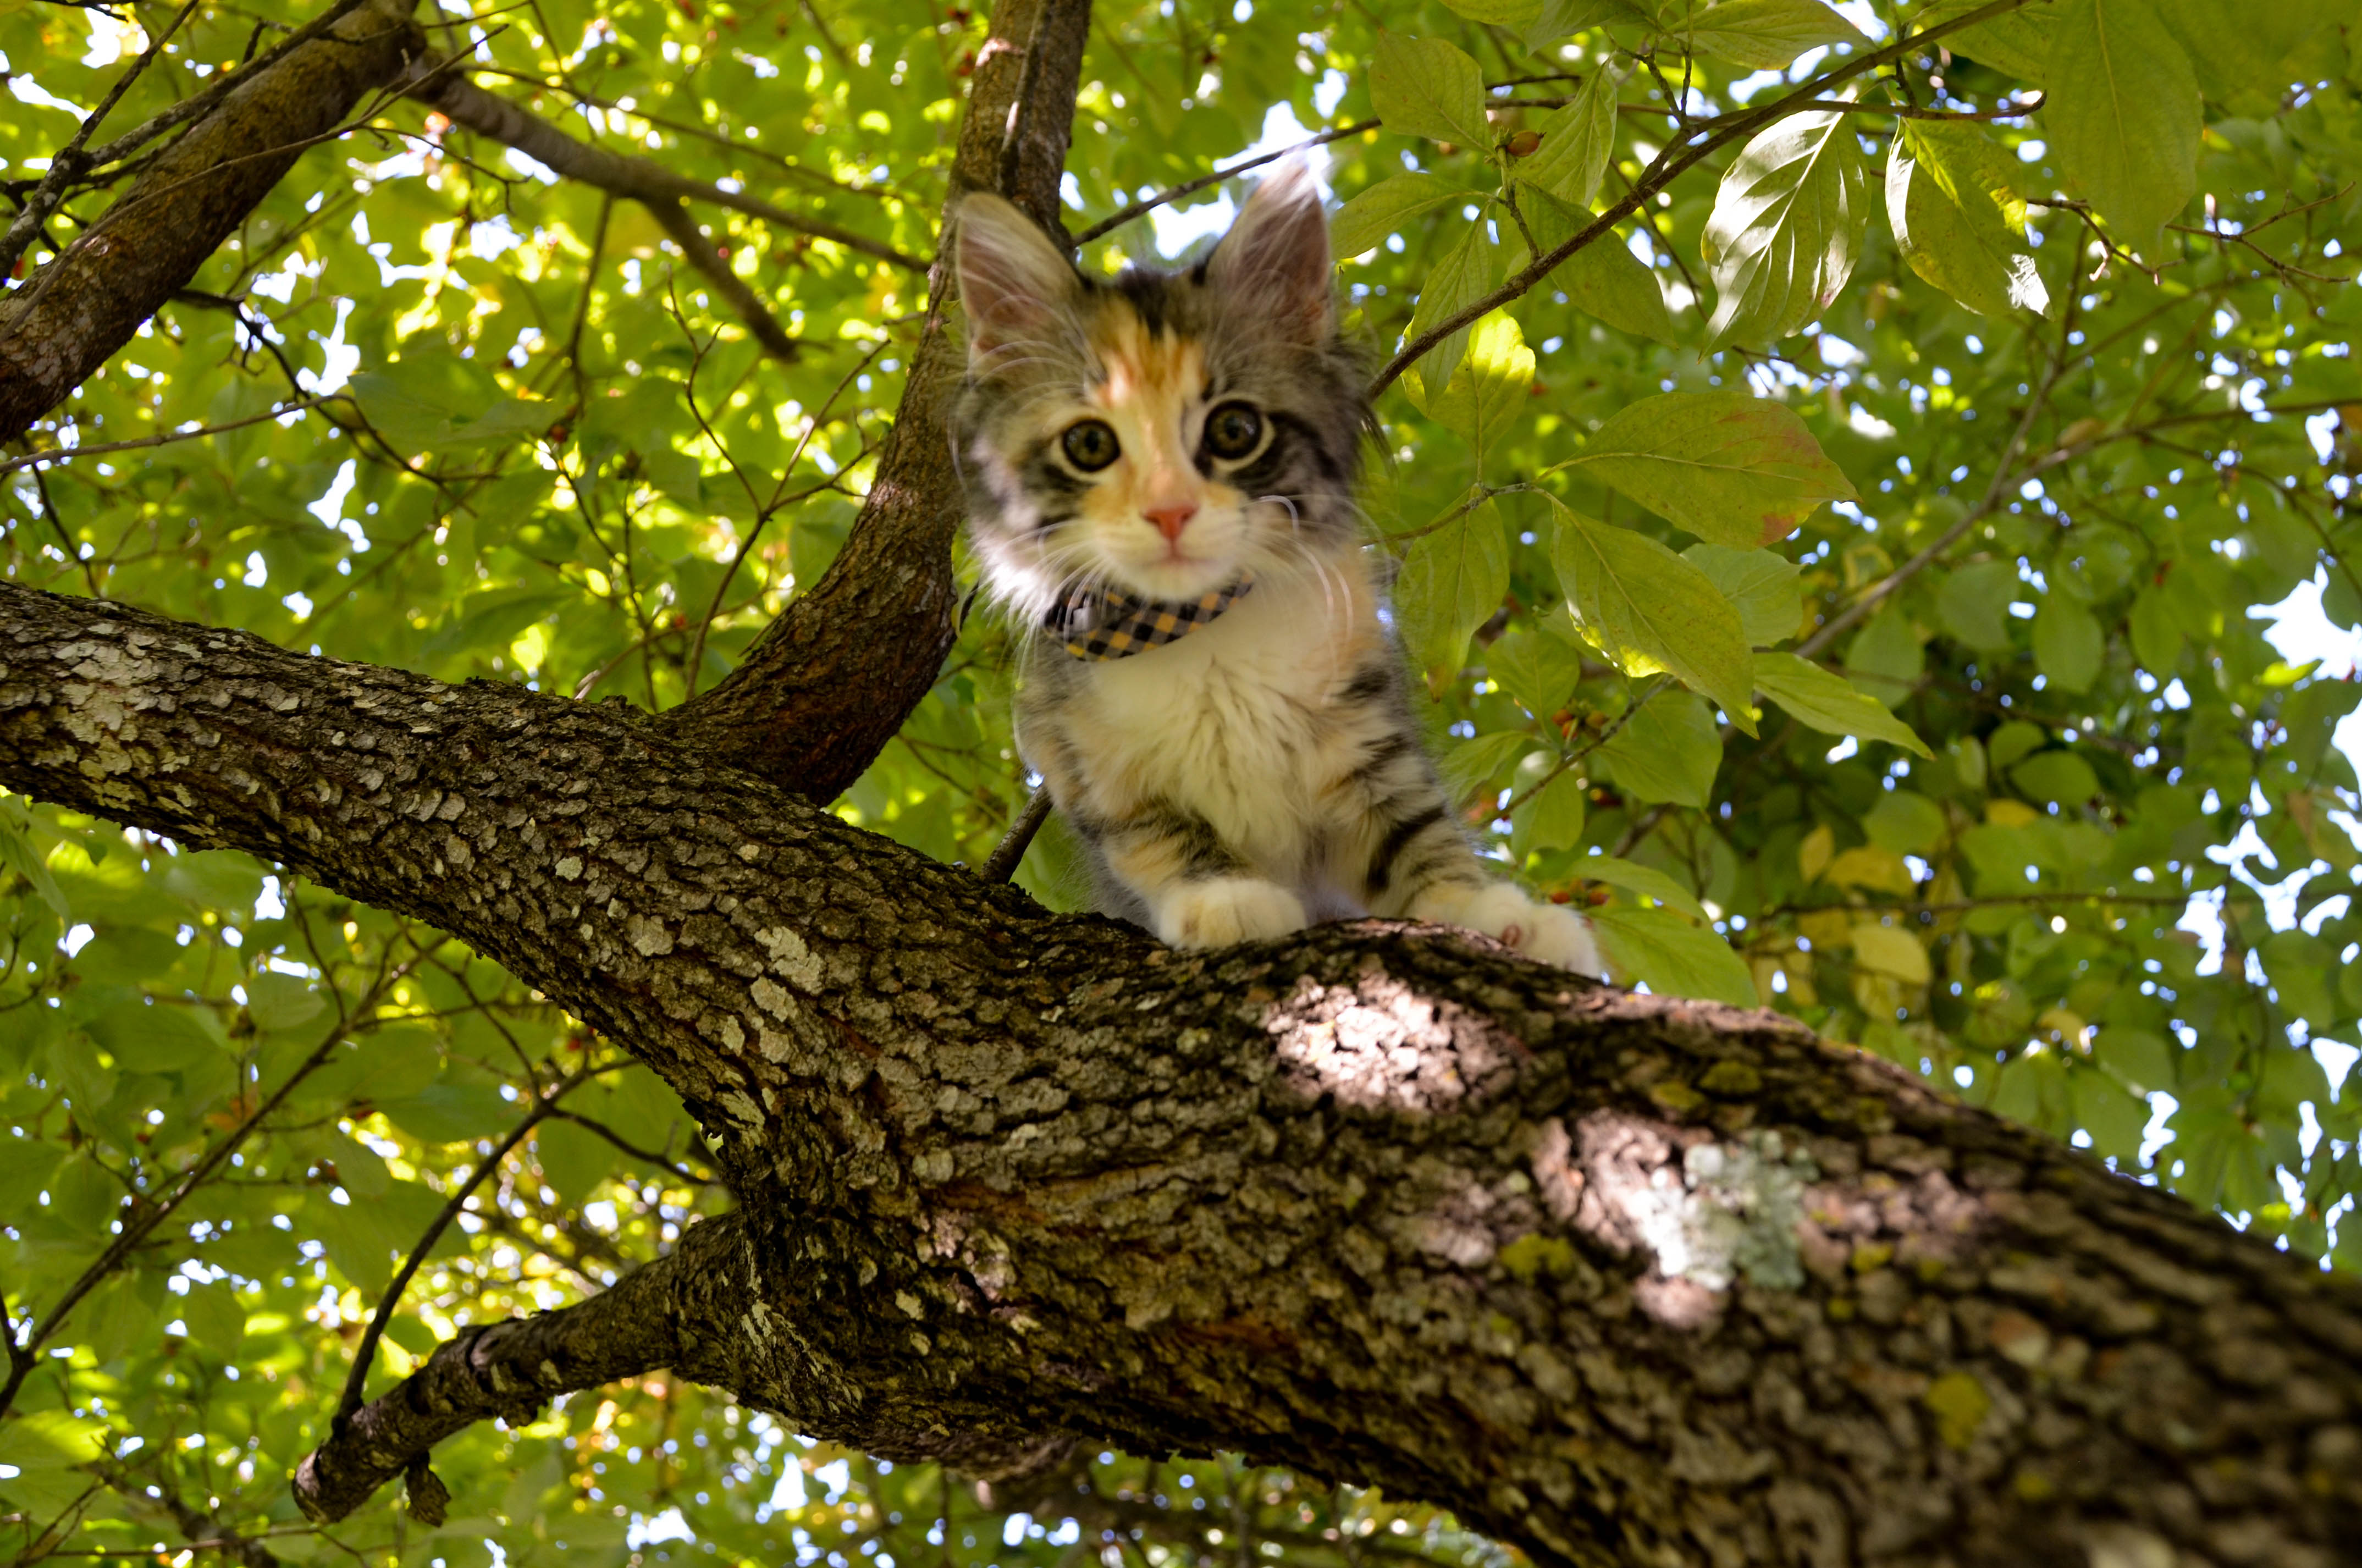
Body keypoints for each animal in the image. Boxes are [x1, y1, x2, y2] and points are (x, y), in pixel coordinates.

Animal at [949, 156, 1597, 968]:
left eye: (1234, 431)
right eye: (1090, 445)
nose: (1169, 511)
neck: (1199, 634)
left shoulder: (1370, 747)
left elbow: (1420, 838)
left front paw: (1495, 913)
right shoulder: (1087, 767)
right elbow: (1165, 838)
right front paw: (1225, 896)